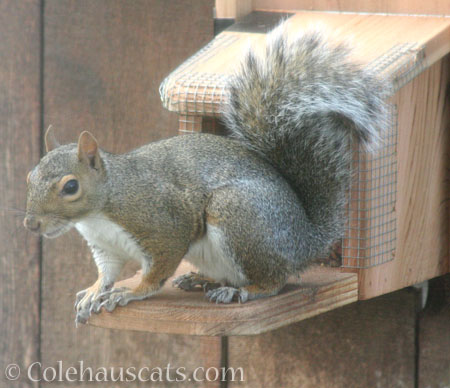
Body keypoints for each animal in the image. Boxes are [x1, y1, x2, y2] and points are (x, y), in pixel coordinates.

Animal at [22, 22, 386, 324]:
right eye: (29, 178)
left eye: (71, 187)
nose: (31, 224)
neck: (102, 210)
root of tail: (306, 240)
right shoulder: (105, 247)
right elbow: (107, 272)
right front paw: (96, 290)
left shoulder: (164, 224)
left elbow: (156, 271)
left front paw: (131, 291)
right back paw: (202, 278)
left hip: (240, 217)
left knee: (274, 280)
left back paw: (241, 290)